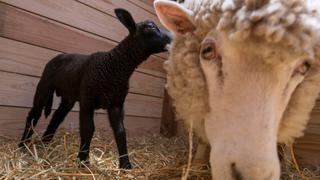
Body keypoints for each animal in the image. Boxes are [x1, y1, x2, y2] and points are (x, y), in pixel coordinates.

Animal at [18, 8, 171, 169]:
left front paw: (125, 164)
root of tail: (59, 56)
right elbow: (88, 129)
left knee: (56, 117)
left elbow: (120, 131)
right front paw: (83, 161)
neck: (115, 68)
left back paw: (45, 144)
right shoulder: (87, 100)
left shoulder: (116, 104)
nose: (173, 37)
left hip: (68, 98)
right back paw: (23, 145)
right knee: (34, 114)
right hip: (45, 85)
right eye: (151, 26)